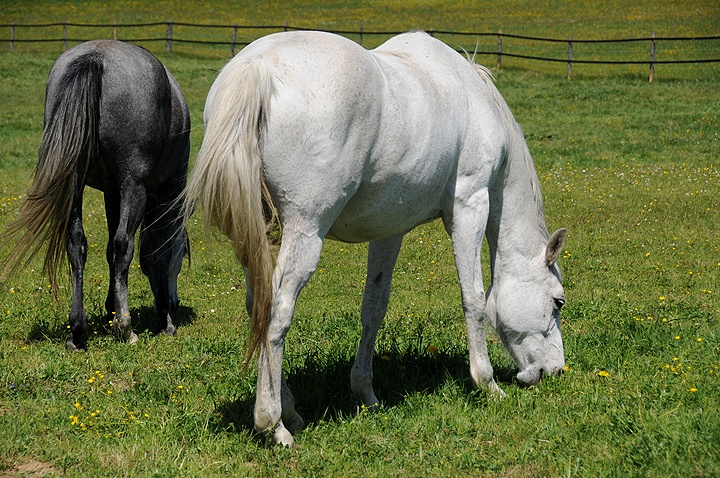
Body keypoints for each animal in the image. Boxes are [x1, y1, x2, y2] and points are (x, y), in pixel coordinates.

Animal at [0, 41, 191, 350]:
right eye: (183, 255)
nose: (175, 302)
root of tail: (96, 58)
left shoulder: (112, 195)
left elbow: (109, 250)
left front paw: (111, 308)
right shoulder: (162, 192)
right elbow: (152, 253)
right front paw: (163, 320)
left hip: (74, 184)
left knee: (77, 243)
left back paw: (78, 331)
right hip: (133, 186)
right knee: (124, 245)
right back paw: (125, 328)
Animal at [186, 30, 568, 448]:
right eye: (558, 302)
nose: (556, 370)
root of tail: (256, 68)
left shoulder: (390, 230)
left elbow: (374, 307)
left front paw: (365, 393)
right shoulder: (470, 204)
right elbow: (475, 299)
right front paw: (487, 383)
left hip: (256, 237)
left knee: (259, 305)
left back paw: (291, 411)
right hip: (305, 231)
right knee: (277, 312)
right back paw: (273, 425)